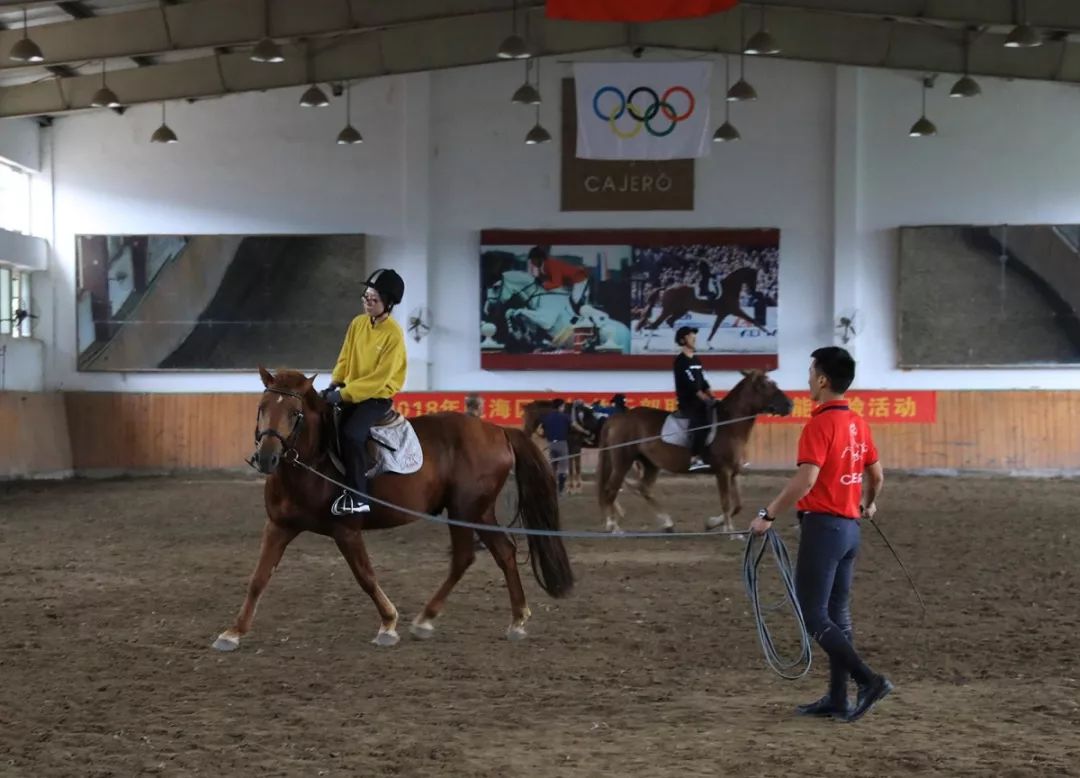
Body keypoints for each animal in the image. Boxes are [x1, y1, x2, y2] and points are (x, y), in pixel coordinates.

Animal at [213, 365, 578, 648]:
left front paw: (388, 624)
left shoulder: (346, 531)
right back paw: (515, 620)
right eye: (262, 406)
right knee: (502, 552)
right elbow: (258, 578)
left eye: (295, 413)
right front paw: (232, 632)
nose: (266, 458)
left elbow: (365, 576)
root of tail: (497, 430)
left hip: (465, 510)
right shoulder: (279, 526)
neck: (312, 464)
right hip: (478, 511)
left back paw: (427, 619)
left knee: (465, 557)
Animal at [596, 371, 790, 535]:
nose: (789, 405)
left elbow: (738, 505)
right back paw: (613, 526)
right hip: (623, 460)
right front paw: (729, 532)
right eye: (765, 385)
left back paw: (667, 523)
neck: (729, 425)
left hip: (650, 463)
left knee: (644, 489)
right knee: (611, 489)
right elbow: (726, 502)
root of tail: (617, 417)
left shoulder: (733, 472)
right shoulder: (723, 471)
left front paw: (711, 523)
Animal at [630, 264, 777, 345]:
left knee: (669, 322)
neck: (730, 288)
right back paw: (646, 346)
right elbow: (751, 321)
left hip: (680, 310)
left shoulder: (726, 313)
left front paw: (770, 333)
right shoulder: (732, 311)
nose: (755, 292)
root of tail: (666, 289)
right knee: (656, 324)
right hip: (669, 310)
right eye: (753, 277)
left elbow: (751, 321)